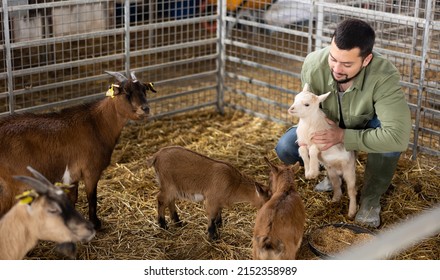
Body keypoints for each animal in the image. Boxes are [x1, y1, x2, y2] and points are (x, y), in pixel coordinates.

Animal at [0, 70, 156, 230]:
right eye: (126, 92)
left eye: (144, 90)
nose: (145, 109)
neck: (97, 124)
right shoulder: (90, 171)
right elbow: (92, 197)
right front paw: (95, 223)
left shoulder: (72, 174)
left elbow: (73, 199)